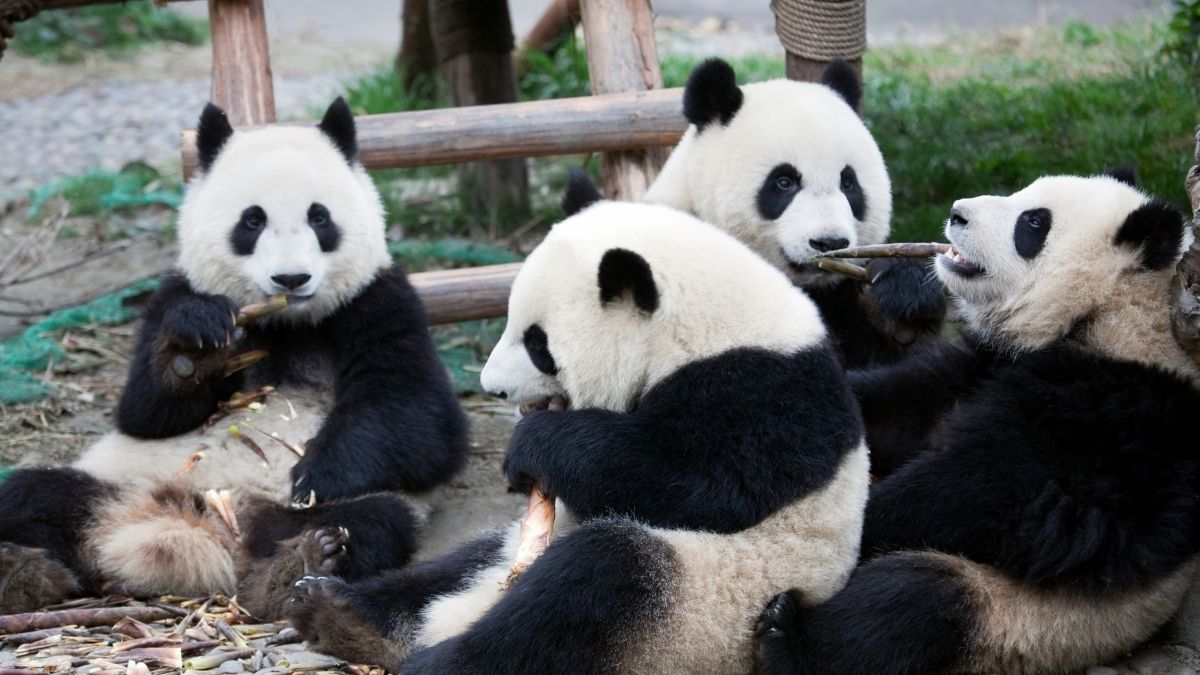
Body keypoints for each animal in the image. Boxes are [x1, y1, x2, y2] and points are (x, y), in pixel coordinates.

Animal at [0, 99, 469, 615]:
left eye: (319, 217)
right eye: (252, 220)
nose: (291, 279)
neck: (286, 322)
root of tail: (195, 527)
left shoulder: (378, 302)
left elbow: (422, 422)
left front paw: (316, 474)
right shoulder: (172, 295)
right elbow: (143, 413)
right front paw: (193, 351)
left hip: (315, 511)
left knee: (369, 521)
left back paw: (296, 567)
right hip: (118, 477)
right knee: (30, 494)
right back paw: (21, 572)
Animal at [283, 198, 870, 673]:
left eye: (537, 342)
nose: (492, 388)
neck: (705, 322)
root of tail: (462, 614)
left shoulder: (763, 391)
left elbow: (703, 484)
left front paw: (534, 445)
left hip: (709, 608)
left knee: (589, 583)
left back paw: (433, 658)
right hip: (517, 552)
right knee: (451, 568)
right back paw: (334, 607)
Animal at [754, 172, 1200, 675]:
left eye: (1033, 223)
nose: (957, 213)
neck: (1111, 314)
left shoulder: (1121, 417)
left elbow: (994, 495)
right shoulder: (986, 363)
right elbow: (904, 407)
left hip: (1022, 622)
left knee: (913, 600)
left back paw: (786, 637)